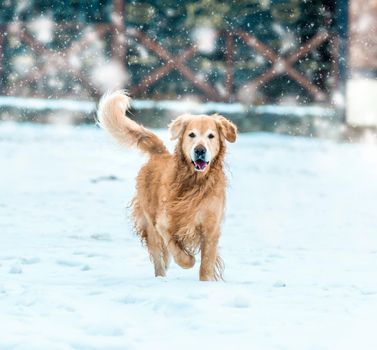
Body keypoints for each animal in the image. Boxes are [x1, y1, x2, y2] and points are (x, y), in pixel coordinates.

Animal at [97, 91, 235, 282]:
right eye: (191, 135)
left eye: (211, 136)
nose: (200, 150)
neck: (194, 182)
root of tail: (160, 153)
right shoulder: (163, 223)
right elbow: (180, 253)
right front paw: (189, 260)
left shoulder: (211, 228)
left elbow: (206, 263)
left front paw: (205, 281)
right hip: (149, 223)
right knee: (158, 256)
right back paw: (161, 277)